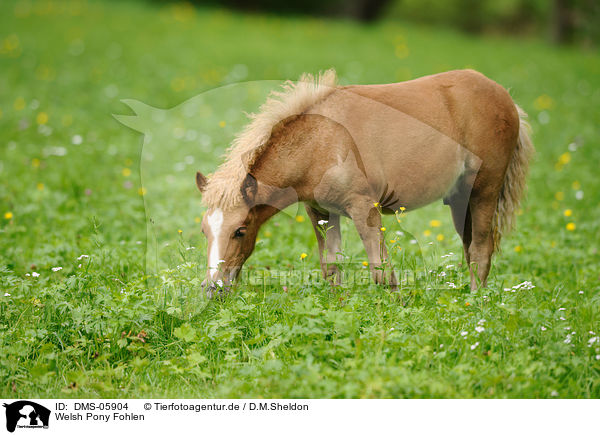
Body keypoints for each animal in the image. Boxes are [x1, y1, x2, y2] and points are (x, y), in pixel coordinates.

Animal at [195, 70, 532, 298]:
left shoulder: (363, 208)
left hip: (485, 191)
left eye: (240, 231)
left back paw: (475, 305)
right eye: (204, 231)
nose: (213, 288)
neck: (322, 142)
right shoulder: (320, 212)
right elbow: (331, 267)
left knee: (480, 249)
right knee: (469, 247)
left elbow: (381, 271)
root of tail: (507, 98)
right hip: (460, 199)